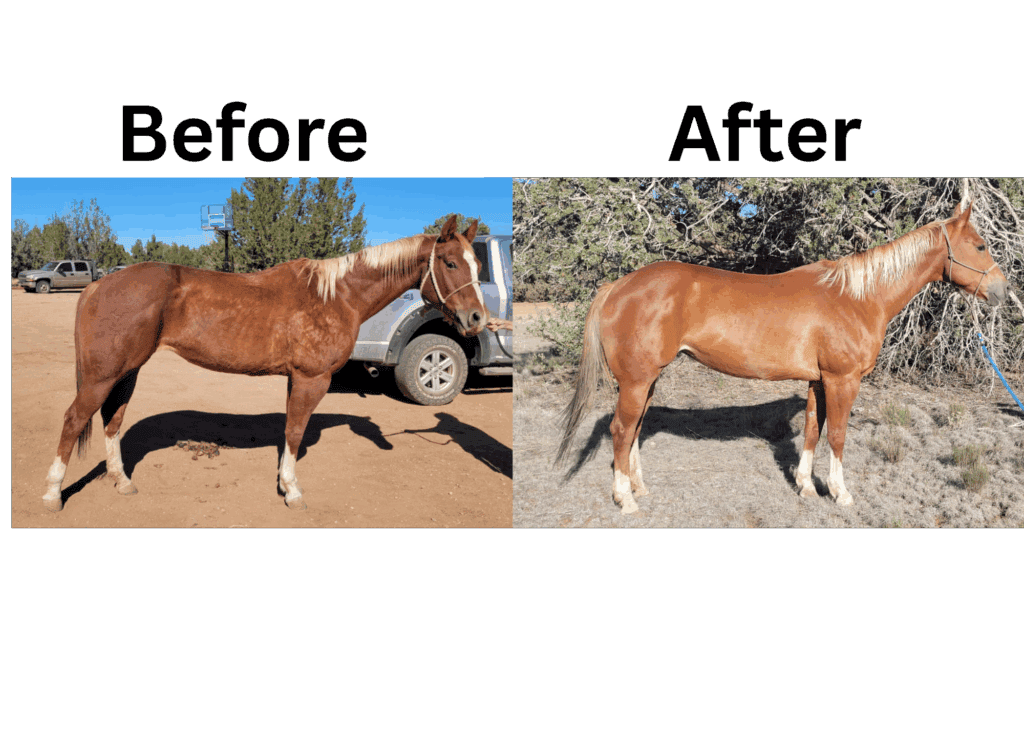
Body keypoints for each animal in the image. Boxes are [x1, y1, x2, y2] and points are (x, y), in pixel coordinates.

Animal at [43, 215, 487, 512]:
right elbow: (294, 433)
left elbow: (288, 431)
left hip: (126, 372)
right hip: (103, 375)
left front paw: (283, 483)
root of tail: (99, 284)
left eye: (478, 265)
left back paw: (121, 482)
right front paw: (292, 491)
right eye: (450, 263)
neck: (337, 296)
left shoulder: (296, 379)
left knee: (112, 420)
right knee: (73, 419)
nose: (477, 319)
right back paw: (52, 494)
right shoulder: (312, 379)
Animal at [556, 201, 1009, 514]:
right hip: (636, 380)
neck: (857, 297)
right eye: (980, 245)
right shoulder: (843, 380)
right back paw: (625, 499)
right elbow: (838, 435)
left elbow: (811, 430)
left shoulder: (818, 381)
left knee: (634, 430)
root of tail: (617, 286)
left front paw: (806, 486)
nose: (1003, 291)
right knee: (621, 430)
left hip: (646, 380)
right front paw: (840, 493)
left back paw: (638, 488)